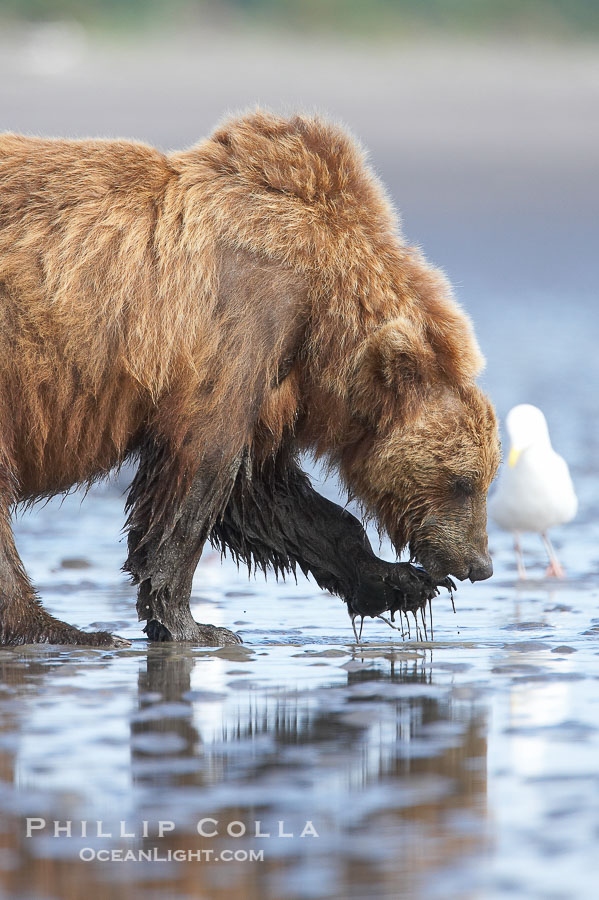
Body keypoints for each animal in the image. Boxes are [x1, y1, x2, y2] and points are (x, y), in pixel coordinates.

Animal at [0, 110, 500, 647]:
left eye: (488, 477)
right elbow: (201, 469)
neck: (322, 315)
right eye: (462, 482)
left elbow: (265, 495)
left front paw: (398, 582)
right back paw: (63, 630)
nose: (479, 564)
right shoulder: (239, 325)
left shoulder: (275, 374)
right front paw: (194, 625)